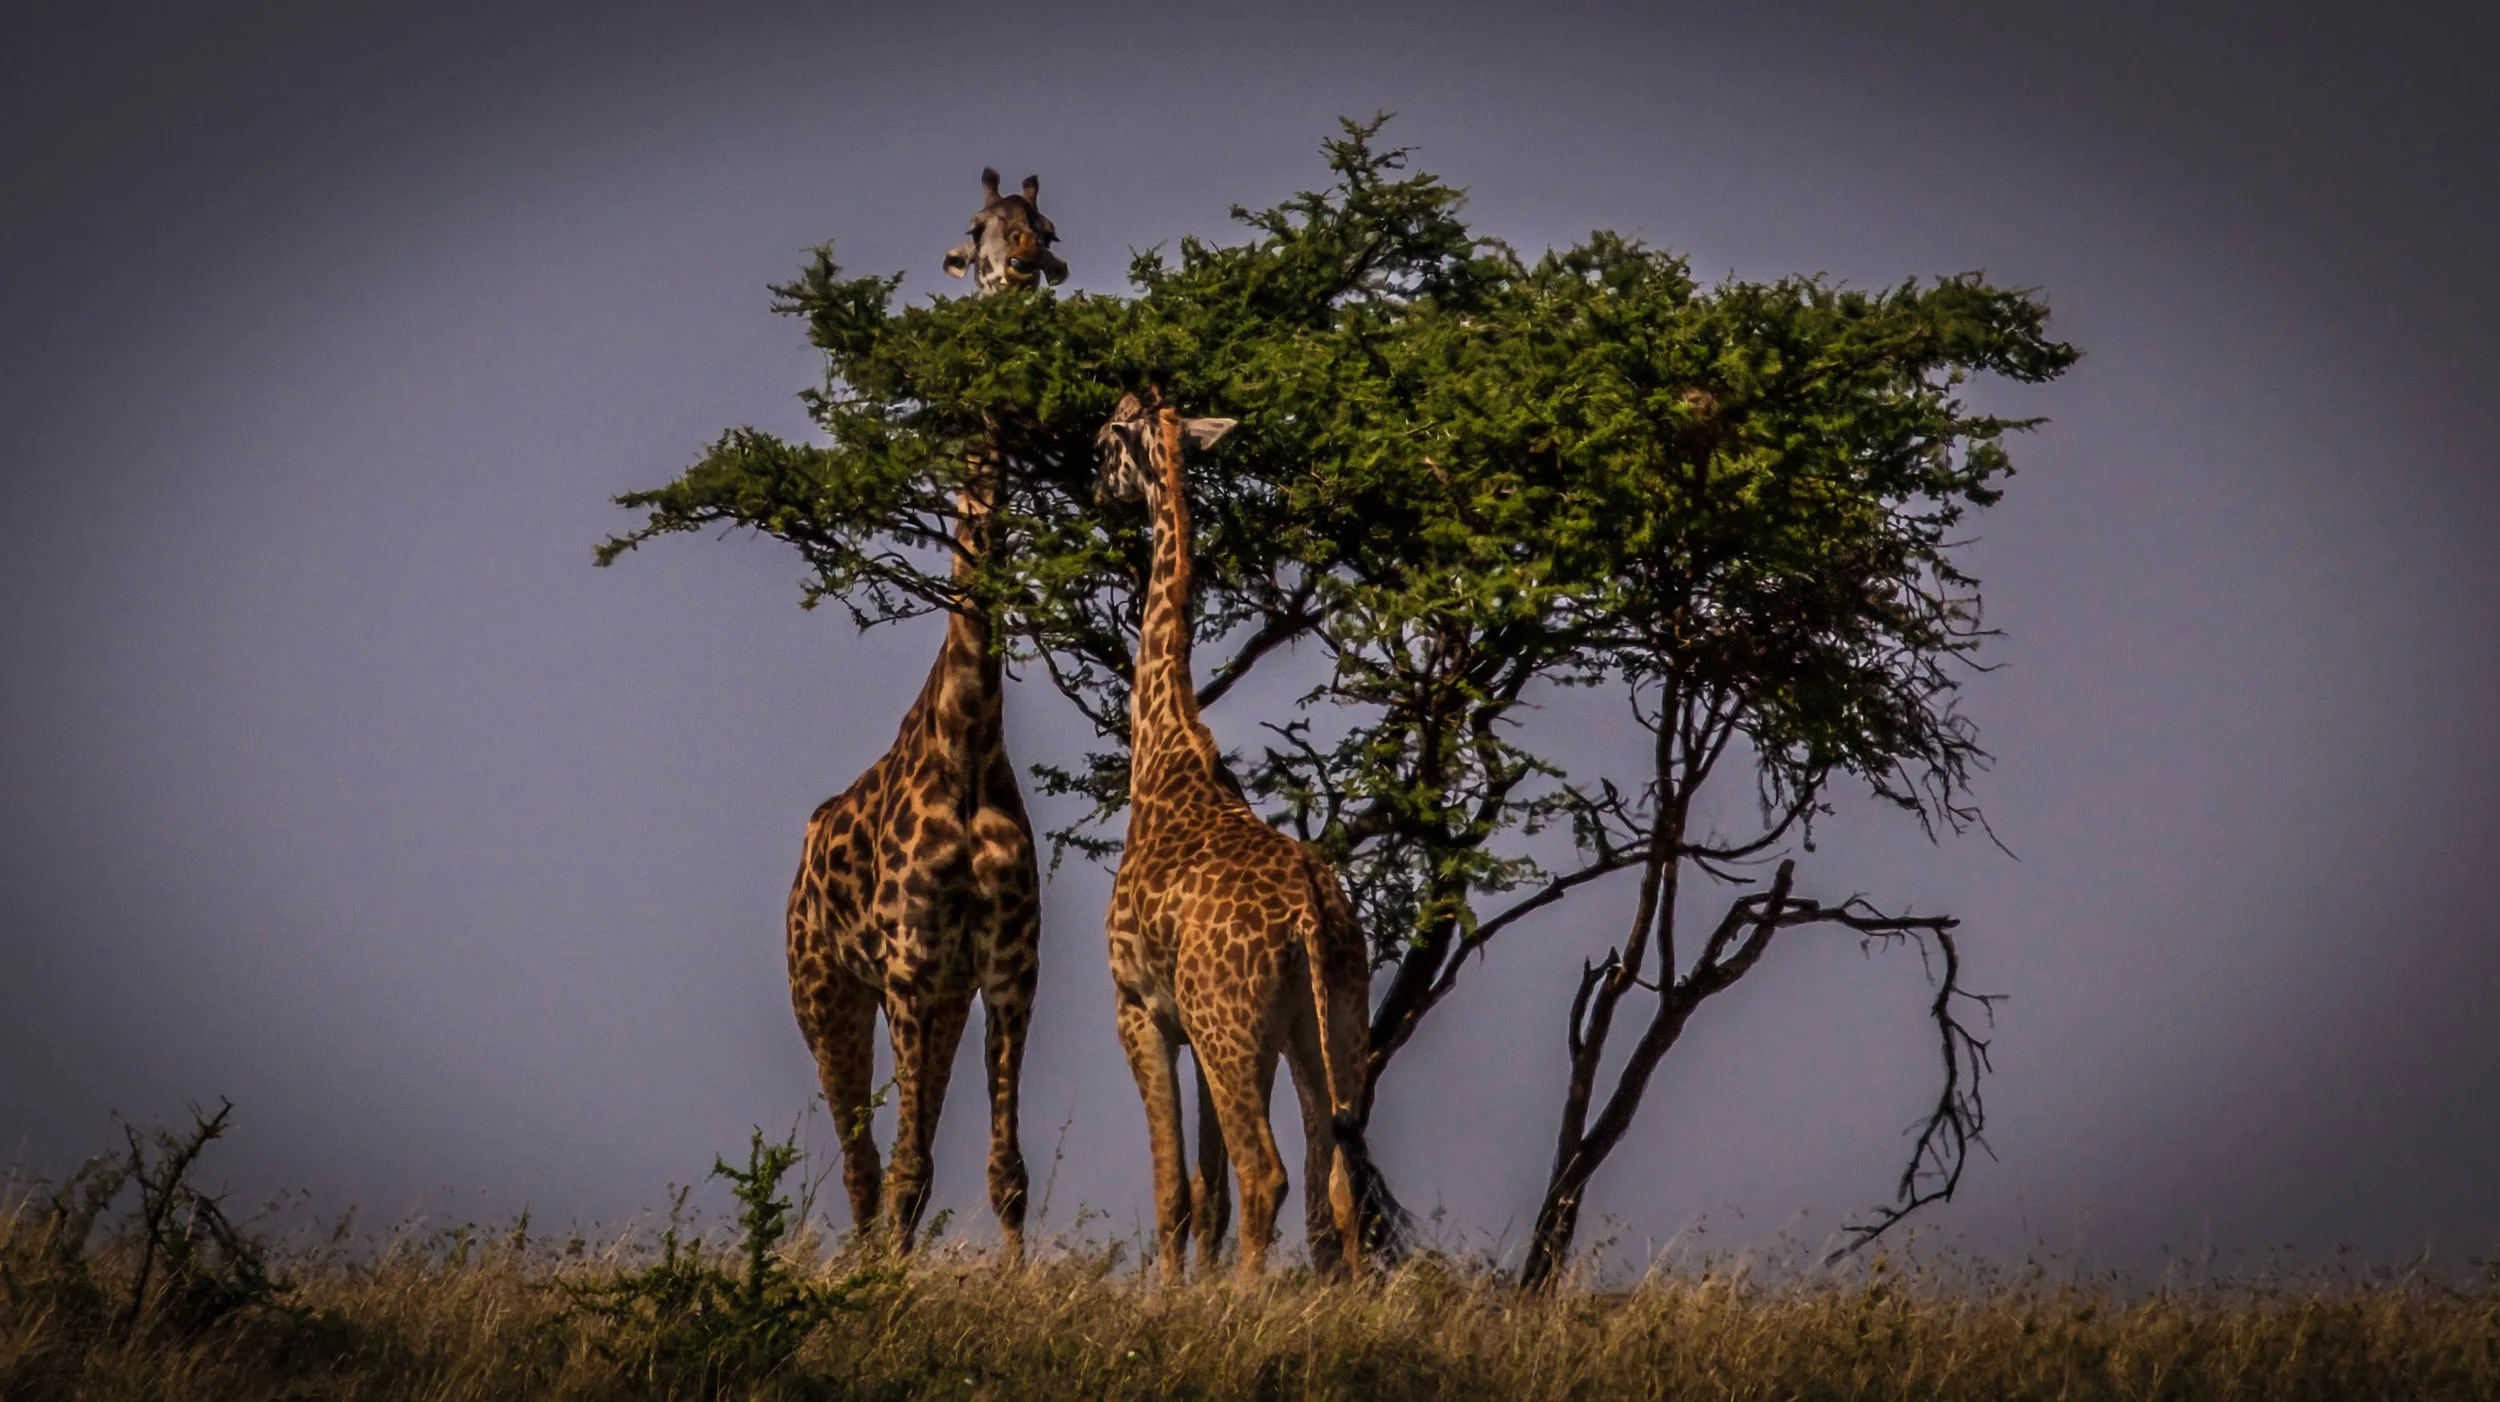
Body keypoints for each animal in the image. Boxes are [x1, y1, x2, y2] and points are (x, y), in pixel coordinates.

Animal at [1094, 386, 1403, 1281]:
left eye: (1105, 440)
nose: (1097, 491)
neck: (1163, 754)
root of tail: (1311, 913)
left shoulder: (1141, 1008)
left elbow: (1176, 1188)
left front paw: (1168, 1298)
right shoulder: (1201, 1024)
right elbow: (1209, 1191)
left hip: (1237, 1025)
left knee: (1270, 1173)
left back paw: (1242, 1302)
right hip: (1325, 1021)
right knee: (1334, 1180)